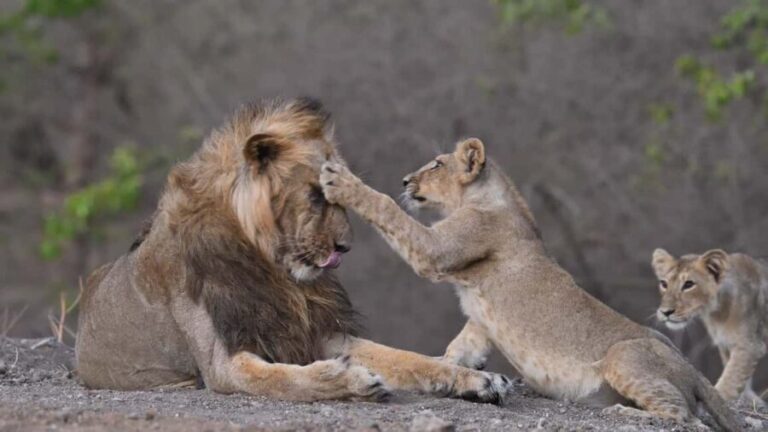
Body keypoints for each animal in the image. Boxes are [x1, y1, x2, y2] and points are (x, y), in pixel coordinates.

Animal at [75, 99, 512, 403]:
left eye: (339, 193)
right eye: (317, 196)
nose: (345, 246)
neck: (276, 271)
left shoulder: (318, 331)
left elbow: (408, 358)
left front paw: (476, 379)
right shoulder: (223, 364)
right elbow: (283, 377)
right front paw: (349, 380)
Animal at [320, 138, 742, 430]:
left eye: (437, 164)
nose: (405, 180)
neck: (484, 198)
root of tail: (691, 370)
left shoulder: (438, 251)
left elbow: (387, 209)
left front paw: (342, 181)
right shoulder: (480, 318)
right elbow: (462, 345)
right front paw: (459, 374)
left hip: (624, 356)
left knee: (684, 416)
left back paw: (627, 412)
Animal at [652, 248, 768, 406]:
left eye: (688, 284)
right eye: (664, 283)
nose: (665, 312)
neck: (716, 313)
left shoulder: (750, 345)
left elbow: (731, 379)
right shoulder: (726, 344)